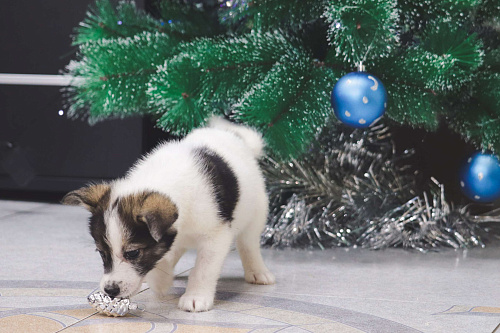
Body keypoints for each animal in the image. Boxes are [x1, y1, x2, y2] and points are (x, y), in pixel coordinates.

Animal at [62, 116, 276, 312]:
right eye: (101, 252)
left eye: (133, 253)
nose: (110, 291)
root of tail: (238, 140)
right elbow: (163, 256)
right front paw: (160, 281)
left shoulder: (216, 236)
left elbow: (203, 268)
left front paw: (196, 297)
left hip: (256, 212)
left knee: (248, 244)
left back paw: (257, 271)